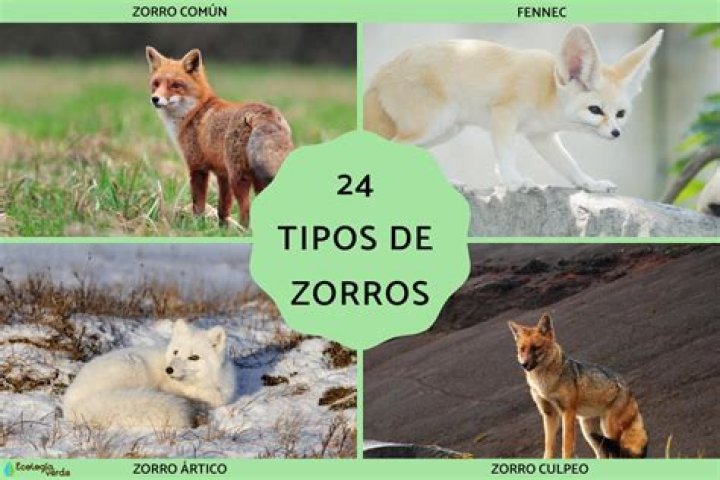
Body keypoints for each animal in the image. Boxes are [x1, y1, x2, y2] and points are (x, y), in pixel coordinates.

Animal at [146, 46, 293, 227]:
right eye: (156, 84)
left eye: (175, 85)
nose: (155, 99)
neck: (194, 112)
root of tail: (263, 113)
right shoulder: (222, 174)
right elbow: (223, 209)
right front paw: (221, 229)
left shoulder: (198, 167)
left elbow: (198, 205)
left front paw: (197, 226)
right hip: (256, 180)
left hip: (239, 178)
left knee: (246, 210)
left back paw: (244, 230)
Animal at [364, 26, 663, 192]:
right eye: (595, 110)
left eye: (621, 114)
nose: (616, 133)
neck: (547, 89)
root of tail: (378, 74)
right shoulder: (503, 114)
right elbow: (506, 154)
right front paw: (515, 182)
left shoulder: (542, 136)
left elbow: (569, 164)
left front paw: (590, 184)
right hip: (434, 124)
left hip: (446, 130)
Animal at [508, 313, 647, 459]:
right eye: (522, 349)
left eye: (536, 348)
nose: (523, 364)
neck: (545, 385)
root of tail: (629, 390)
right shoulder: (548, 413)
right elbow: (549, 446)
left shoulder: (568, 411)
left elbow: (567, 445)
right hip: (589, 431)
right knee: (603, 455)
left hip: (608, 429)